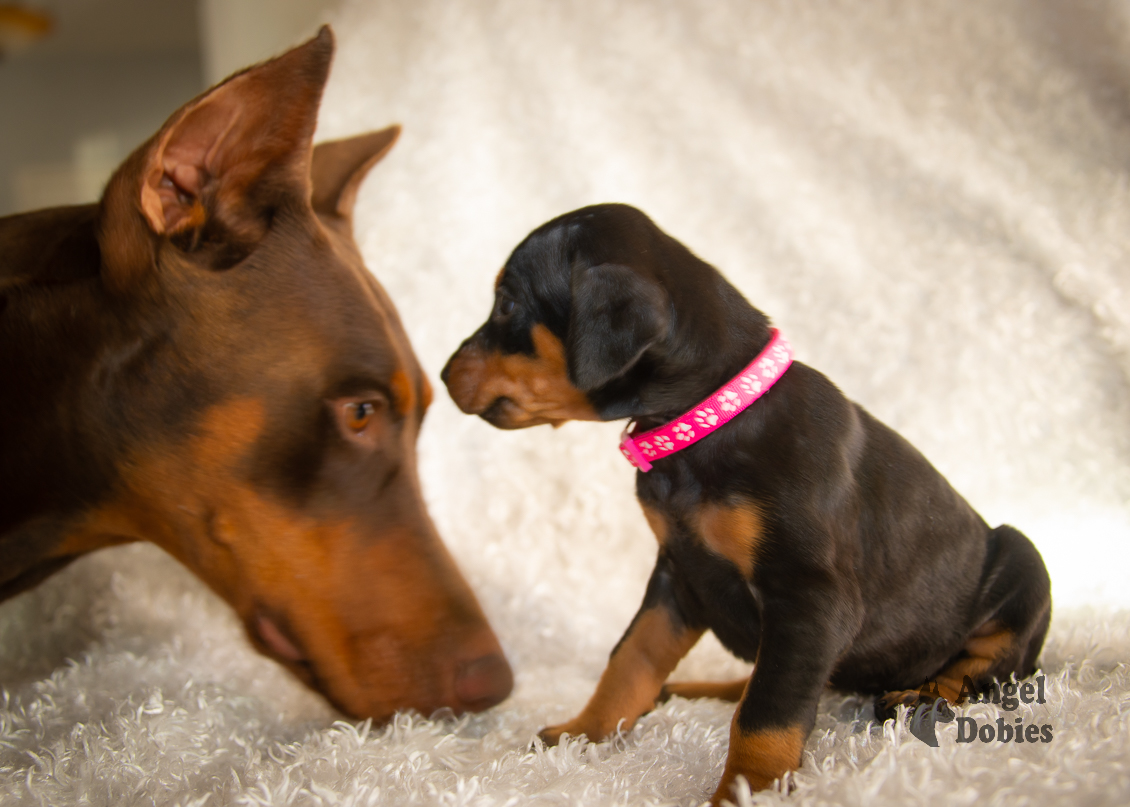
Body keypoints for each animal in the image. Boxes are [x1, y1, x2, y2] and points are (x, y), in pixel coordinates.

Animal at [440, 202, 1048, 800]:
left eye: (506, 303)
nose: (444, 374)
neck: (709, 421)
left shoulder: (809, 597)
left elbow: (768, 711)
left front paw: (747, 789)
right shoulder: (679, 574)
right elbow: (632, 656)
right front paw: (585, 731)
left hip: (1022, 560)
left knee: (987, 666)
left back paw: (925, 693)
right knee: (767, 674)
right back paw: (692, 688)